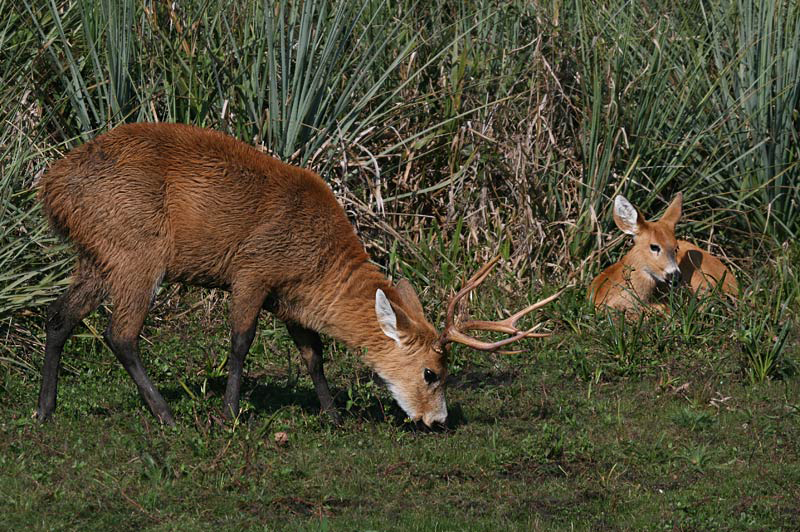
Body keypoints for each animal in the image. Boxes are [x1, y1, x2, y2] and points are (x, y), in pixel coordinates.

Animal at [36, 122, 559, 428]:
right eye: (432, 372)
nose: (437, 421)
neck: (317, 261)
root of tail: (51, 185)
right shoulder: (252, 271)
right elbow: (240, 343)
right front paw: (229, 415)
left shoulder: (289, 299)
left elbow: (314, 356)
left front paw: (332, 416)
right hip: (137, 252)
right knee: (119, 333)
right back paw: (167, 417)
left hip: (97, 255)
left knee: (59, 316)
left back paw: (45, 411)